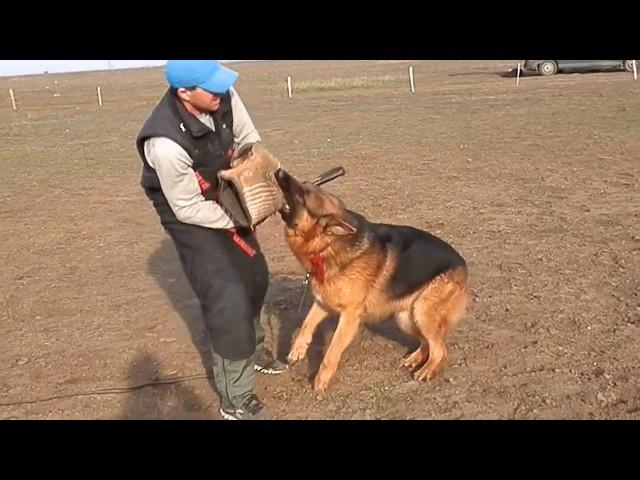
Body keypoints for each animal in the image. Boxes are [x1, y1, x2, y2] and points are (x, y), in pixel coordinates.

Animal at [276, 171, 470, 392]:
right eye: (303, 186)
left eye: (303, 194)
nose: (279, 172)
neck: (328, 244)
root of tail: (463, 264)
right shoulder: (323, 303)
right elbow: (306, 324)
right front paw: (297, 350)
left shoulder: (350, 316)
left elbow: (332, 349)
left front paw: (321, 380)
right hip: (406, 318)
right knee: (428, 343)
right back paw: (415, 359)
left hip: (422, 313)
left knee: (440, 348)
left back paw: (427, 370)